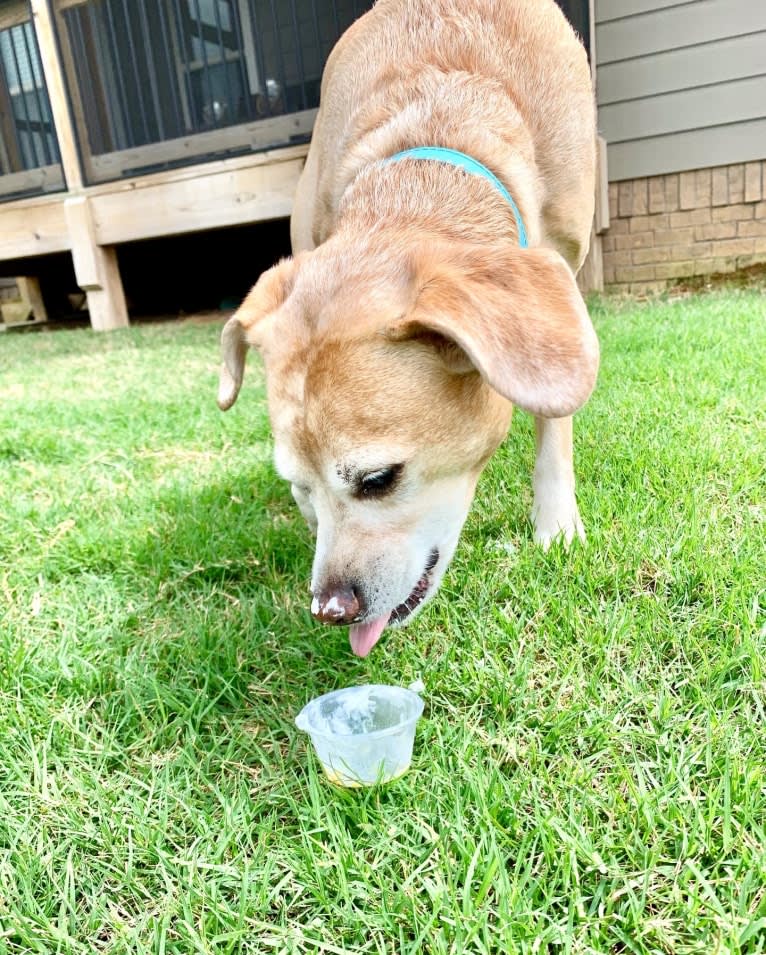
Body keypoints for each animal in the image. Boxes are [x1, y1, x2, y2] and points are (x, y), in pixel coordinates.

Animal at [216, 0, 600, 656]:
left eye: (377, 478)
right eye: (301, 480)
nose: (329, 610)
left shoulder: (564, 267)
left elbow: (555, 416)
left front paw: (555, 522)